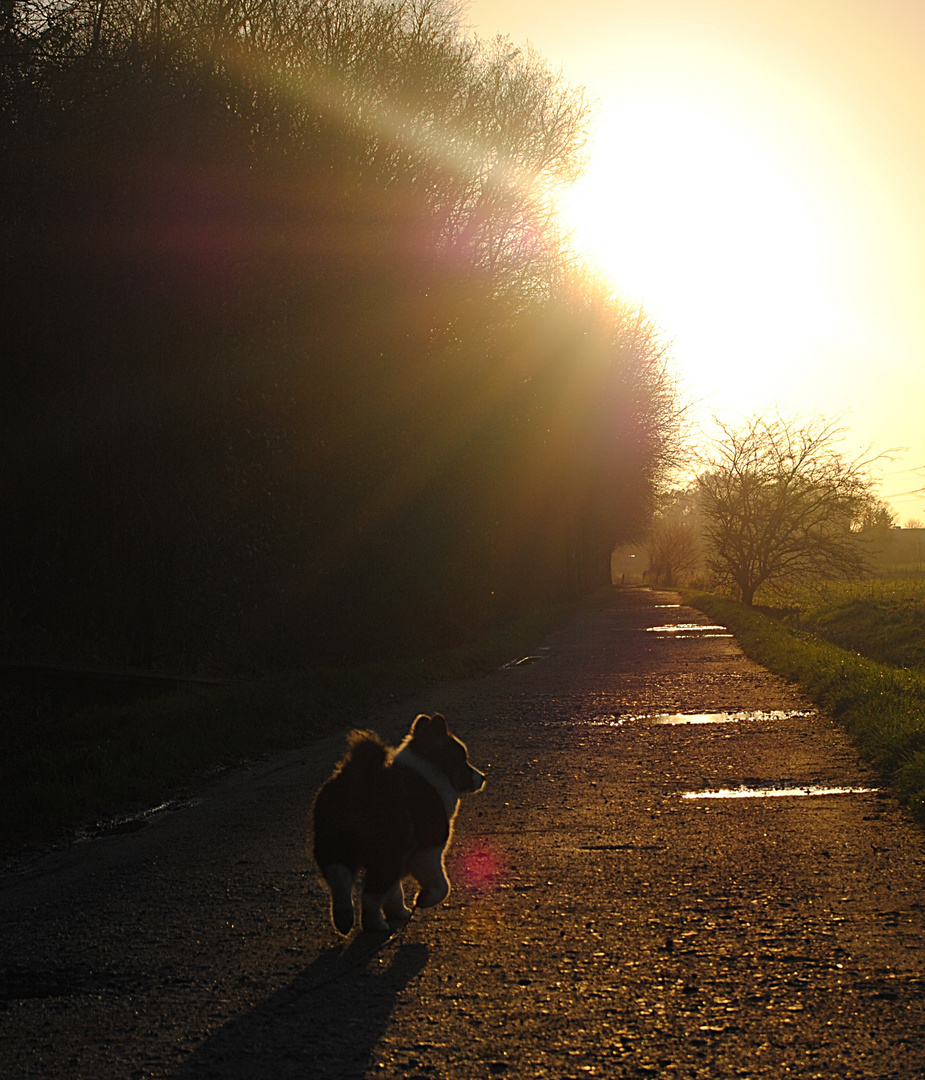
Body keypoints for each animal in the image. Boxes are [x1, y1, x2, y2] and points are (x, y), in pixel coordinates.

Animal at [311, 712, 484, 933]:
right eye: (463, 760)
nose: (482, 777)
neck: (431, 771)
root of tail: (360, 783)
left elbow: (394, 892)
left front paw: (399, 912)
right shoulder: (427, 852)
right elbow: (442, 885)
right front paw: (423, 899)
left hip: (334, 848)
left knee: (340, 883)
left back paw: (344, 918)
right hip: (386, 854)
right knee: (370, 895)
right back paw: (376, 926)